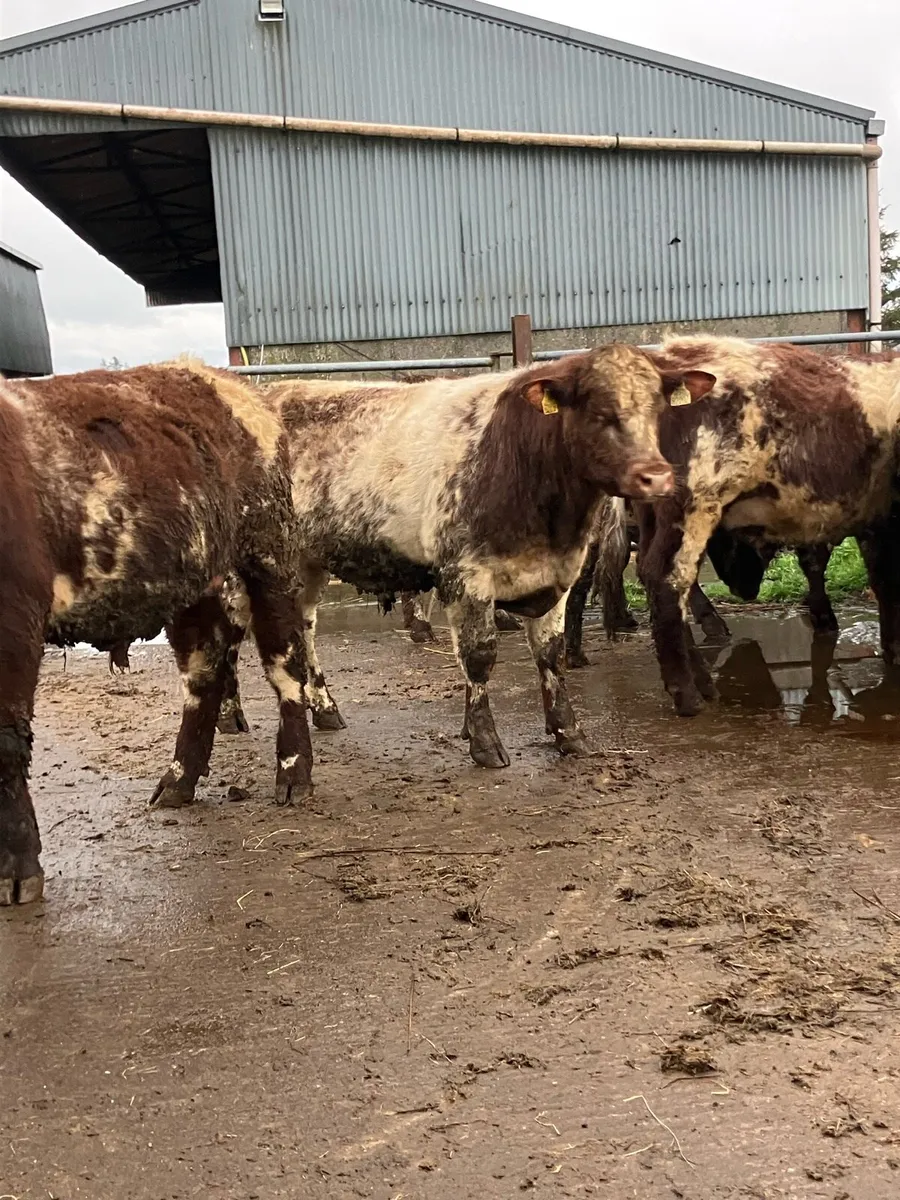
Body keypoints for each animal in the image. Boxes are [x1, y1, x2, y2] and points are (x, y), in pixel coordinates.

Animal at [0, 363, 312, 906]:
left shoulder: (15, 614)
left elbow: (6, 741)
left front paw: (15, 869)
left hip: (268, 550)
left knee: (283, 655)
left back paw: (294, 775)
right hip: (194, 580)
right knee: (205, 667)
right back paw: (178, 782)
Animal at [634, 337, 900, 716]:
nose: (743, 587)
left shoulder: (874, 523)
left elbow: (883, 586)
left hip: (651, 511)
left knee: (651, 572)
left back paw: (703, 684)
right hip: (693, 502)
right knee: (669, 579)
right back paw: (687, 695)